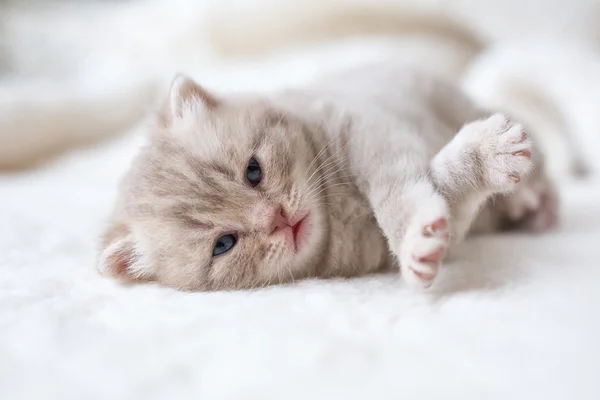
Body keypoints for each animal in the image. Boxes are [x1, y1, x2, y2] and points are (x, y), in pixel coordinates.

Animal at [99, 64, 556, 292]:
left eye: (253, 171)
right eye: (223, 244)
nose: (278, 220)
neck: (336, 213)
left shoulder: (373, 131)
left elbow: (399, 191)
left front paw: (486, 153)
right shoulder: (377, 250)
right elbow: (443, 195)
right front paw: (421, 244)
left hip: (453, 99)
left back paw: (535, 198)